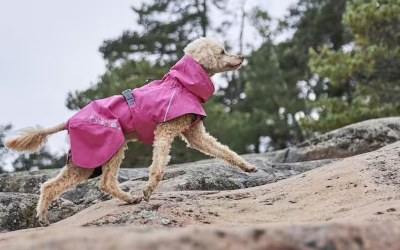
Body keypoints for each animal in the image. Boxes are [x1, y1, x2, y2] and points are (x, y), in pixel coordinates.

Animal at [5, 37, 260, 227]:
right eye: (223, 51)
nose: (242, 58)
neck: (182, 84)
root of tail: (69, 120)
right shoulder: (165, 131)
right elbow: (158, 168)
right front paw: (148, 190)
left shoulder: (195, 134)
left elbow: (224, 151)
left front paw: (247, 167)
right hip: (111, 147)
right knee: (105, 183)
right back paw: (131, 198)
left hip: (83, 162)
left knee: (51, 186)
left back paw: (43, 216)